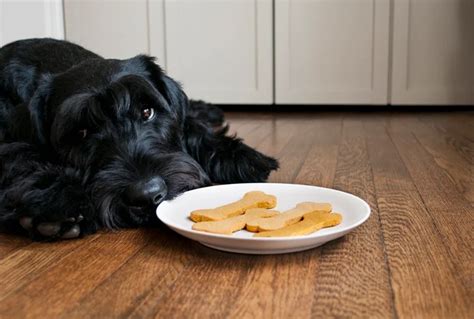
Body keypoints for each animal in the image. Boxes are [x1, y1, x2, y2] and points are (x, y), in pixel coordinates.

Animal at [0, 38, 278, 241]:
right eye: (81, 133)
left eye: (147, 112)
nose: (147, 195)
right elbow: (22, 155)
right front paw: (56, 201)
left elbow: (190, 126)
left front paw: (239, 156)